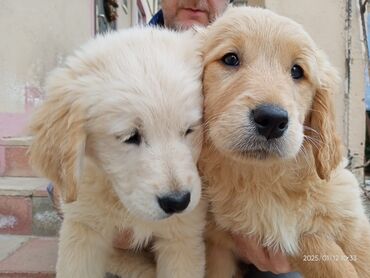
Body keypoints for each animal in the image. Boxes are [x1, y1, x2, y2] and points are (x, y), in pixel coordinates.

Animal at [201, 6, 370, 278]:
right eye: (230, 59)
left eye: (297, 71)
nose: (272, 120)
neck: (270, 178)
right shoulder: (269, 226)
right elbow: (324, 252)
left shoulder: (349, 212)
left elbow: (360, 254)